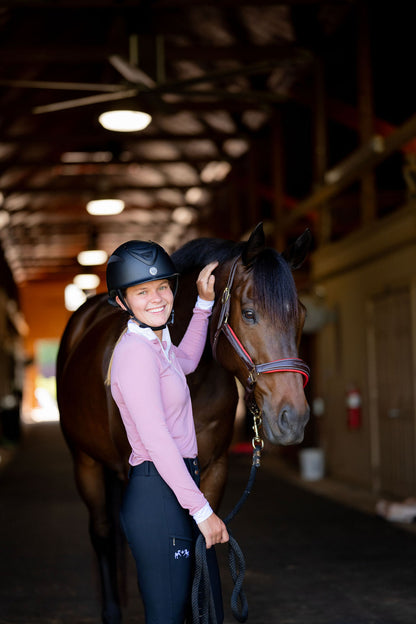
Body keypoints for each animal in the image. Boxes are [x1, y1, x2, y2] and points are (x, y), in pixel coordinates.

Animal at [57, 224, 312, 624]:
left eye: (300, 315)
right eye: (249, 313)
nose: (294, 418)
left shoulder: (214, 470)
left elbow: (200, 549)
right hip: (86, 463)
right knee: (102, 532)